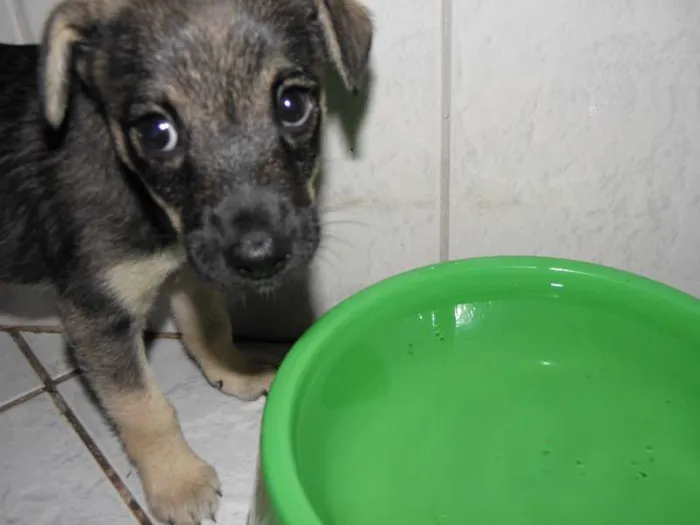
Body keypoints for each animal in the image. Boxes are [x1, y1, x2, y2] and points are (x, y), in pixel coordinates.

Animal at [0, 2, 372, 520]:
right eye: (157, 133)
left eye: (293, 104)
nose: (261, 258)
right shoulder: (96, 315)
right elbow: (144, 407)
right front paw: (178, 482)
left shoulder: (193, 267)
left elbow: (209, 329)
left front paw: (234, 372)